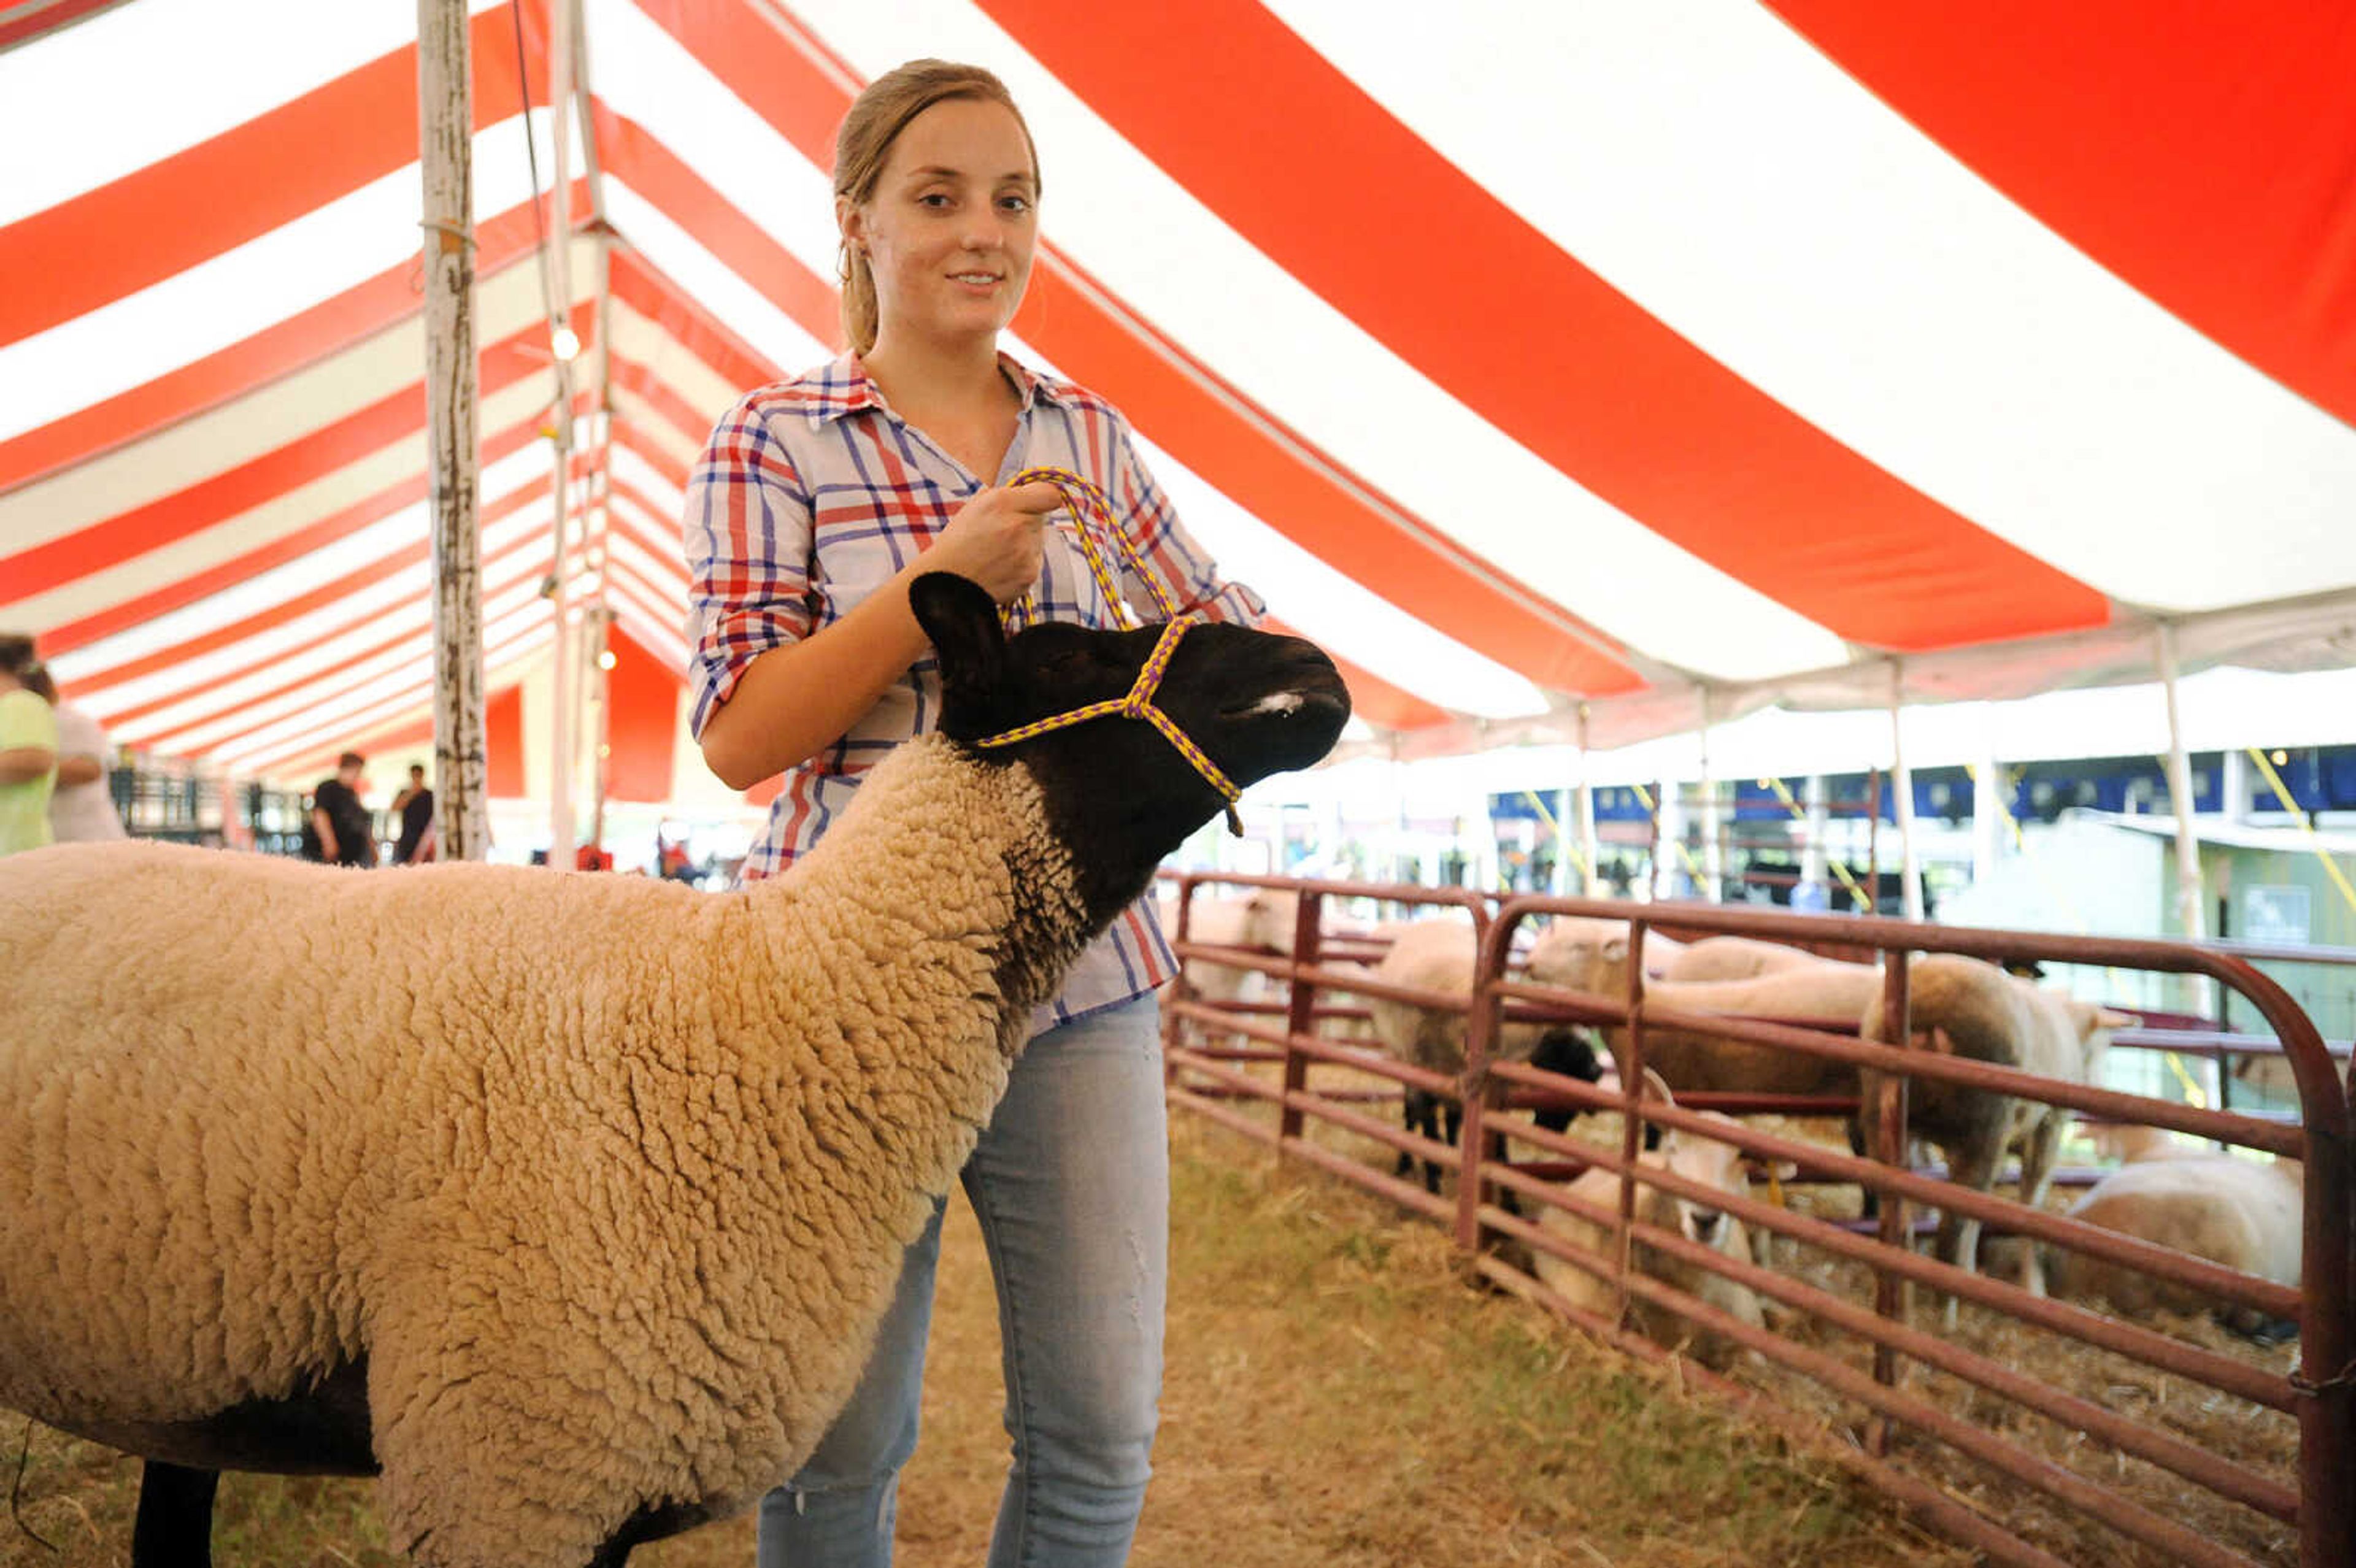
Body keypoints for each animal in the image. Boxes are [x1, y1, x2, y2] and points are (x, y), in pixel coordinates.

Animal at [1856, 951, 2139, 1309]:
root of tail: (1927, 1012)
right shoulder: (2049, 1127)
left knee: (1901, 1229)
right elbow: (2030, 1205)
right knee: (1951, 1237)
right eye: (2103, 1047)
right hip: (1984, 1128)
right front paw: (2034, 1288)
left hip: (1888, 1121)